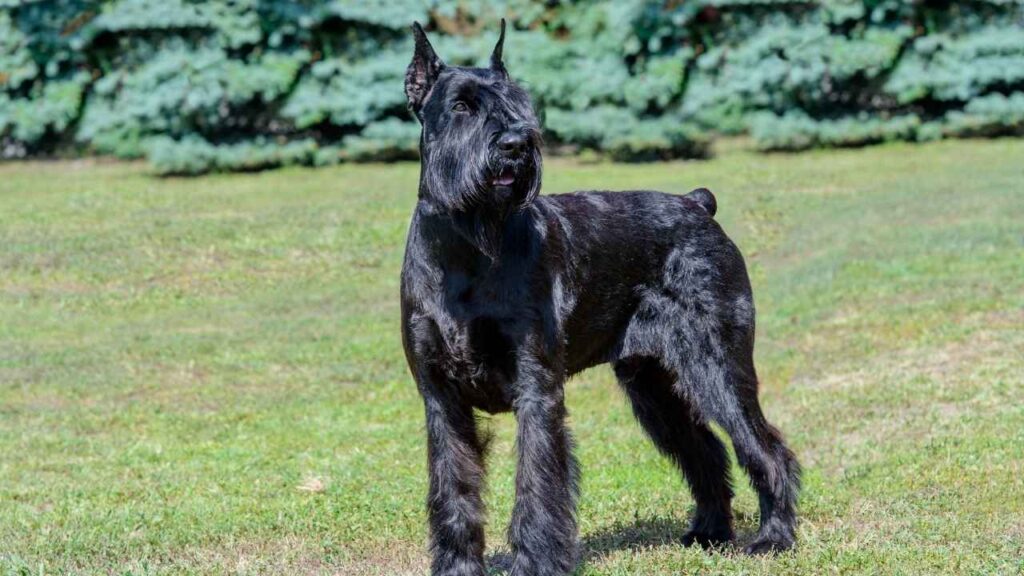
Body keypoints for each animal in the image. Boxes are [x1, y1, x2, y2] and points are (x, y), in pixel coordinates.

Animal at [399, 20, 798, 569]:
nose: (516, 143)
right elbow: (454, 488)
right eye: (461, 106)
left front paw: (536, 563)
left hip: (718, 366)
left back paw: (773, 538)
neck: (466, 251)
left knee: (765, 447)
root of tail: (698, 205)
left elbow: (538, 486)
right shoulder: (441, 399)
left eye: (519, 102)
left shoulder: (537, 390)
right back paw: (710, 532)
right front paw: (458, 567)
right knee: (705, 450)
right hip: (652, 383)